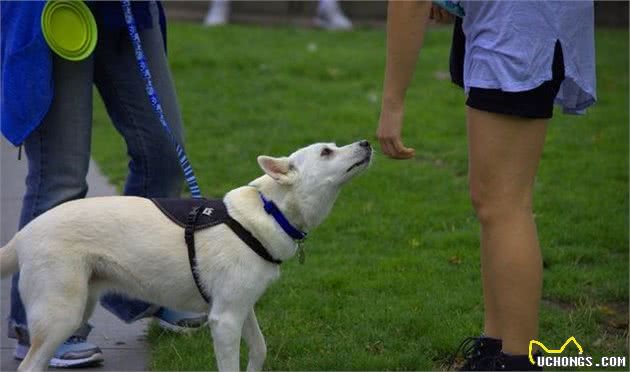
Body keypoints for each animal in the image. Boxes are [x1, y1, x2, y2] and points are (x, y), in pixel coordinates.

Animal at [0, 140, 372, 372]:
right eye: (326, 152)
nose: (367, 143)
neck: (270, 210)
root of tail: (24, 234)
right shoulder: (224, 320)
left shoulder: (241, 307)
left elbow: (260, 348)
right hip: (61, 314)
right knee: (30, 364)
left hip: (80, 304)